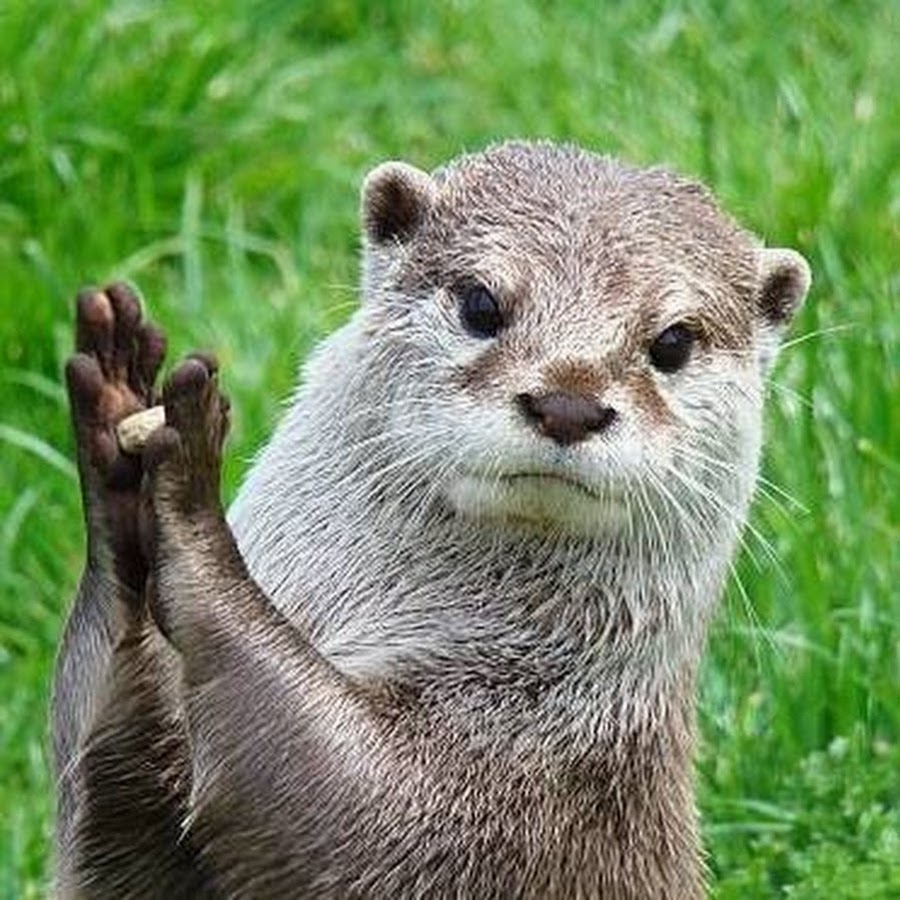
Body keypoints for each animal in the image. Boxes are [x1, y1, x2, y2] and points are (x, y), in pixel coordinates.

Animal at [52, 140, 811, 898]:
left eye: (674, 342)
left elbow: (349, 803)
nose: (568, 403)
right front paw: (118, 435)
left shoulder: (508, 799)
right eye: (481, 302)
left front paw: (191, 508)